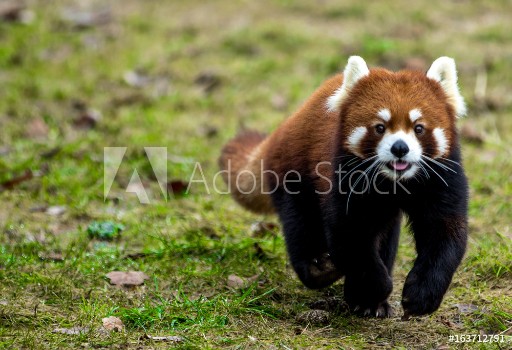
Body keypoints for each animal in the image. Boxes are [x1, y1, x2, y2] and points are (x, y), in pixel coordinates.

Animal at [220, 56, 468, 318]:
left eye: (418, 128)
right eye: (380, 127)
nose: (400, 148)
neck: (393, 183)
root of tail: (286, 126)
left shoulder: (442, 180)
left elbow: (445, 235)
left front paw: (421, 295)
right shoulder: (343, 180)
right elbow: (350, 238)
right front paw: (373, 287)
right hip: (294, 175)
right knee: (300, 226)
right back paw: (319, 269)